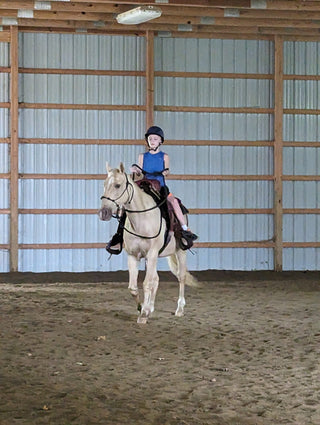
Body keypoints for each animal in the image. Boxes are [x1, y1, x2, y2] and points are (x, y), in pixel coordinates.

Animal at [99, 161, 196, 322]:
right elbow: (133, 287)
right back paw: (150, 307)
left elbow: (146, 283)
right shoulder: (134, 255)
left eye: (118, 185)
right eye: (105, 184)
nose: (103, 213)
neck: (142, 219)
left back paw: (179, 309)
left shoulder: (151, 253)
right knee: (156, 279)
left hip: (179, 251)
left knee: (181, 276)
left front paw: (143, 314)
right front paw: (142, 308)